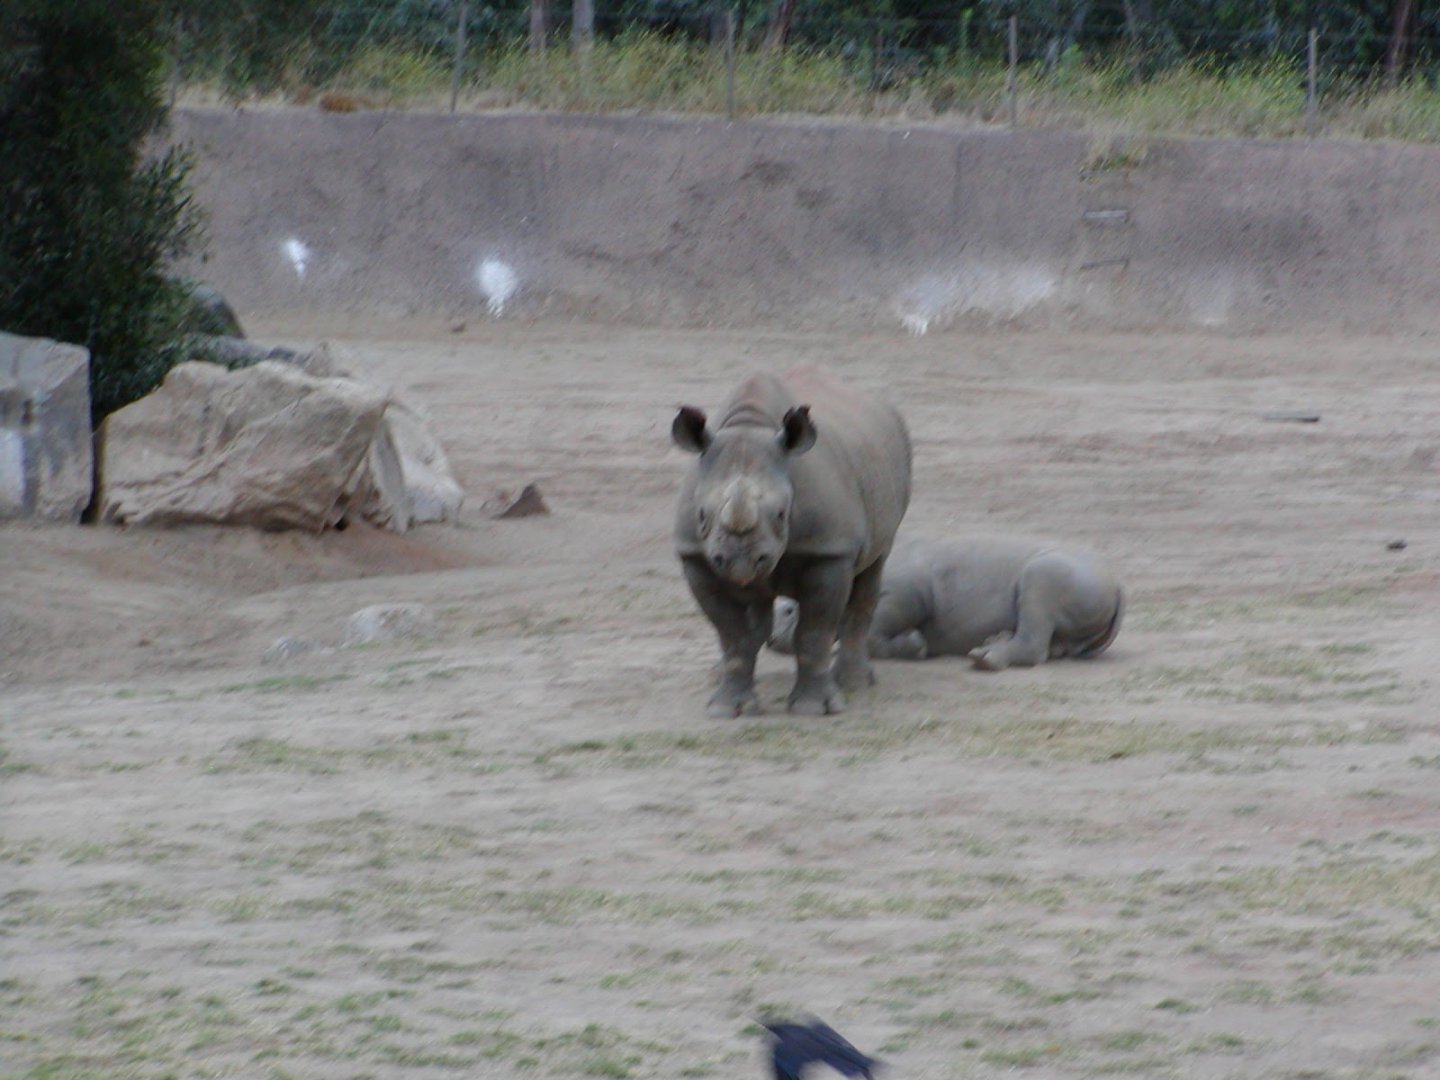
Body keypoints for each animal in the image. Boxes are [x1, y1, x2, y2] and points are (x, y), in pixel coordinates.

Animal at [672, 368, 911, 717]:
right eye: (701, 513)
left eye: (782, 514)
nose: (740, 561)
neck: (750, 425)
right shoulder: (697, 559)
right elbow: (731, 635)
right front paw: (728, 709)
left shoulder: (829, 550)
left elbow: (814, 631)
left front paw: (813, 708)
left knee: (871, 571)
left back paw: (854, 683)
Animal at [769, 535, 1124, 670]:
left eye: (789, 610)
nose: (771, 640)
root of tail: (1118, 583)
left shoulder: (904, 593)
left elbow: (873, 630)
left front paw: (916, 646)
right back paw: (991, 644)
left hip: (1065, 572)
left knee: (1038, 587)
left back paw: (984, 659)